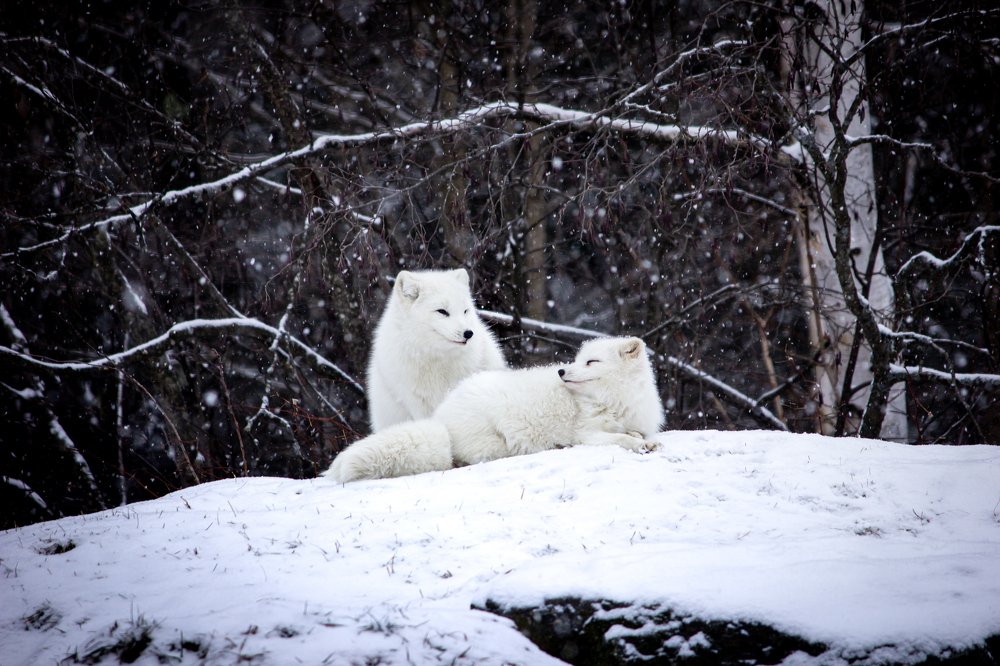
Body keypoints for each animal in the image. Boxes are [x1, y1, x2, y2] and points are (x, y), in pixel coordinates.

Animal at [326, 336, 664, 483]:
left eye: (591, 362)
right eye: (579, 360)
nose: (561, 372)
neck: (614, 399)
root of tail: (440, 418)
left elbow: (635, 433)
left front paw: (643, 439)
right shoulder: (586, 434)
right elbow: (621, 439)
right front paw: (641, 444)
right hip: (494, 444)